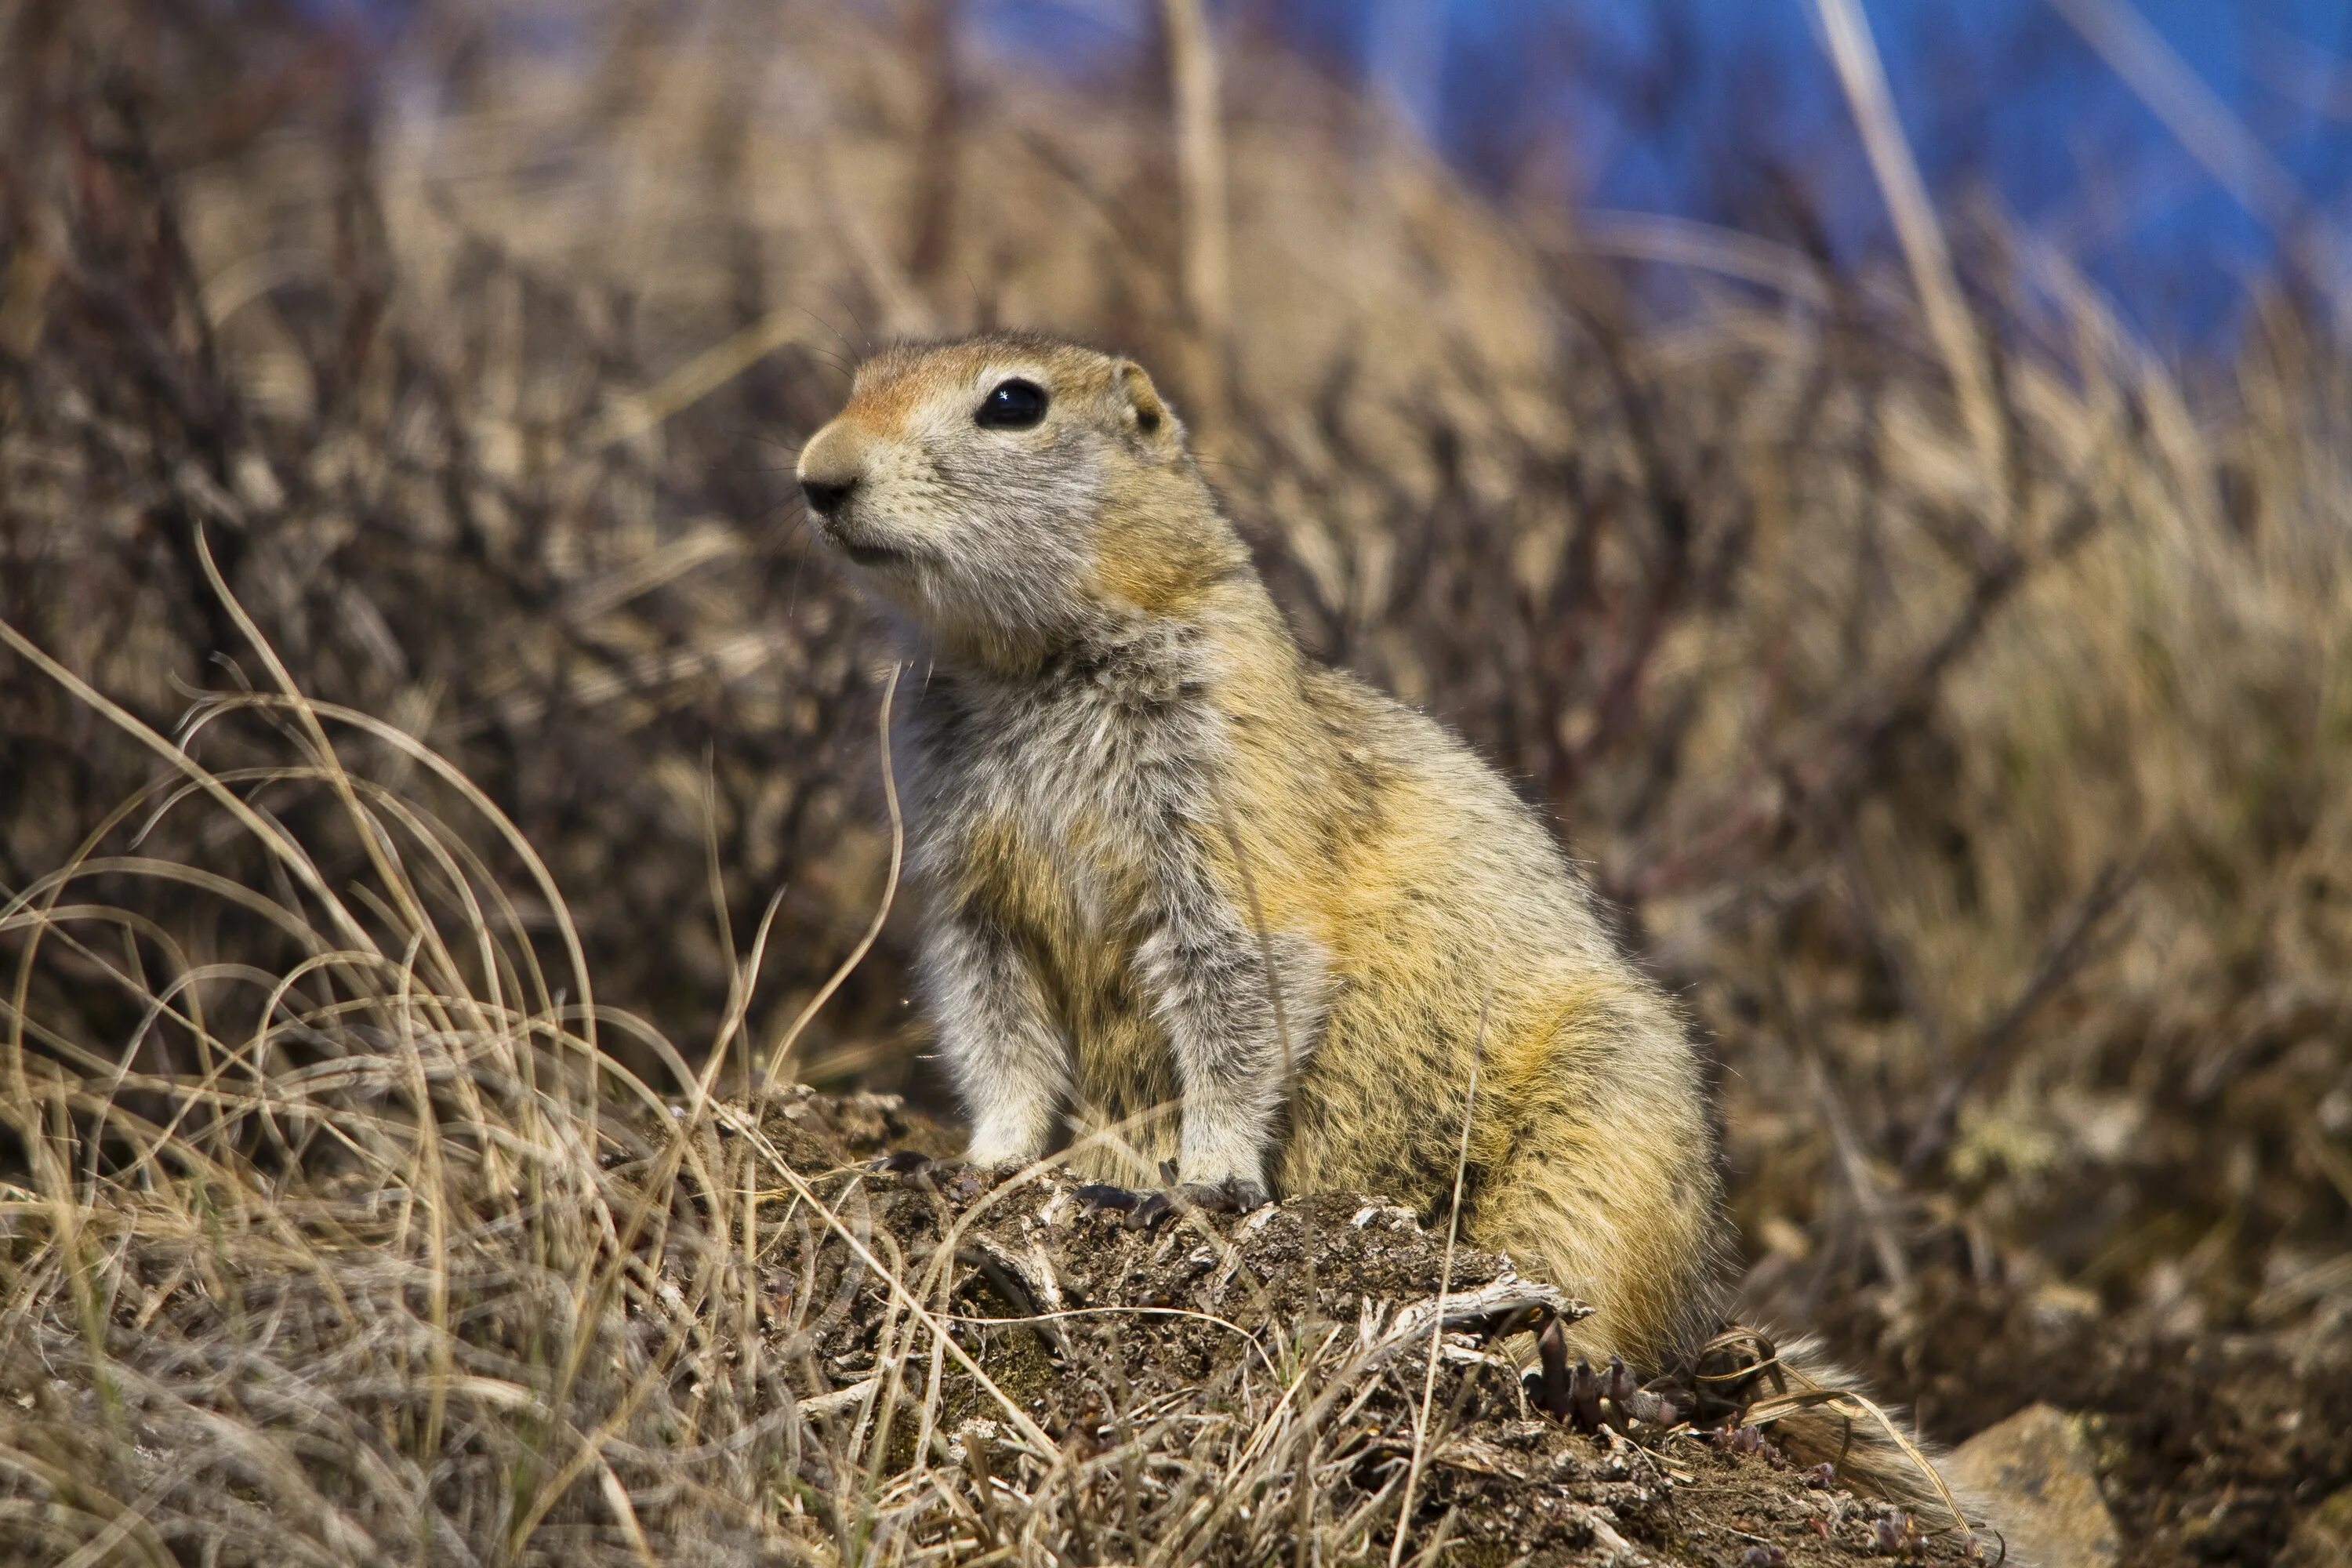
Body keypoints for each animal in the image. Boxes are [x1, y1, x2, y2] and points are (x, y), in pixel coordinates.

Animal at [790, 333, 1985, 1533]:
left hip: (1607, 1127)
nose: (816, 477)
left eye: (1013, 403)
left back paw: (1565, 1368)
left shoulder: (1223, 800)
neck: (1021, 664)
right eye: (859, 378)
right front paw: (981, 1160)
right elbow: (994, 1019)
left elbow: (1241, 976)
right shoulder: (966, 885)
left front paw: (1199, 1177)